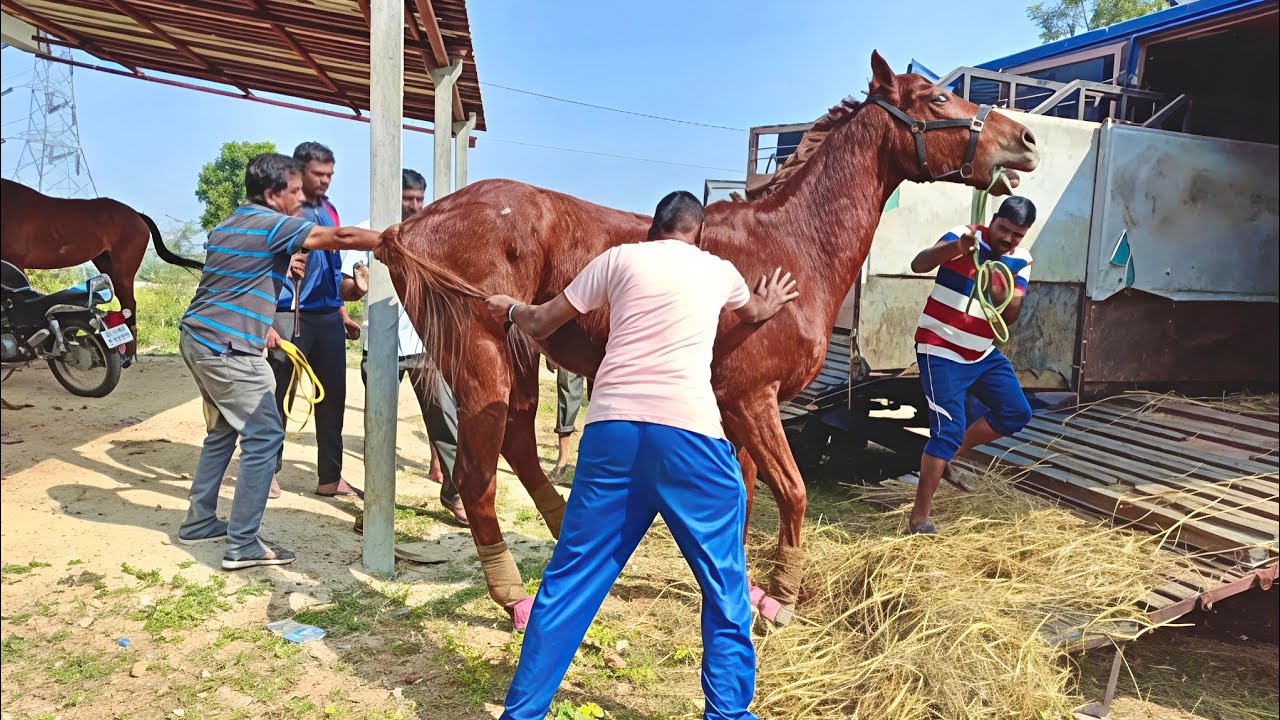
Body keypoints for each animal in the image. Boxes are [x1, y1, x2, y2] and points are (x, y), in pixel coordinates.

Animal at [1, 179, 204, 364]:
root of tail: (137, 215)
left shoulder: (15, 263)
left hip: (123, 271)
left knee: (129, 305)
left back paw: (129, 356)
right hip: (106, 263)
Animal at [375, 52, 1040, 628]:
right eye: (937, 97)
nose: (1027, 139)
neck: (791, 247)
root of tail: (411, 224)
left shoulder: (738, 406)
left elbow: (745, 497)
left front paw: (737, 587)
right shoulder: (753, 398)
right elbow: (792, 492)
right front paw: (779, 599)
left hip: (517, 359)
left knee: (517, 443)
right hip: (482, 364)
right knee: (477, 477)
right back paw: (514, 597)